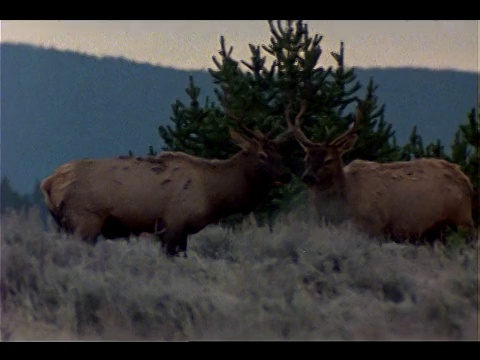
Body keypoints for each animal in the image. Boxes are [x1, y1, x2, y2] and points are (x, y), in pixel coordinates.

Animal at [41, 116, 292, 255]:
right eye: (261, 155)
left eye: (280, 153)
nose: (286, 175)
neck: (212, 196)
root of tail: (49, 182)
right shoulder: (173, 223)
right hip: (85, 221)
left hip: (64, 225)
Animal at [286, 100, 474, 242]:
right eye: (306, 158)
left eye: (328, 160)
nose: (307, 177)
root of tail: (466, 180)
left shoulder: (373, 224)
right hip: (436, 231)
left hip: (463, 218)